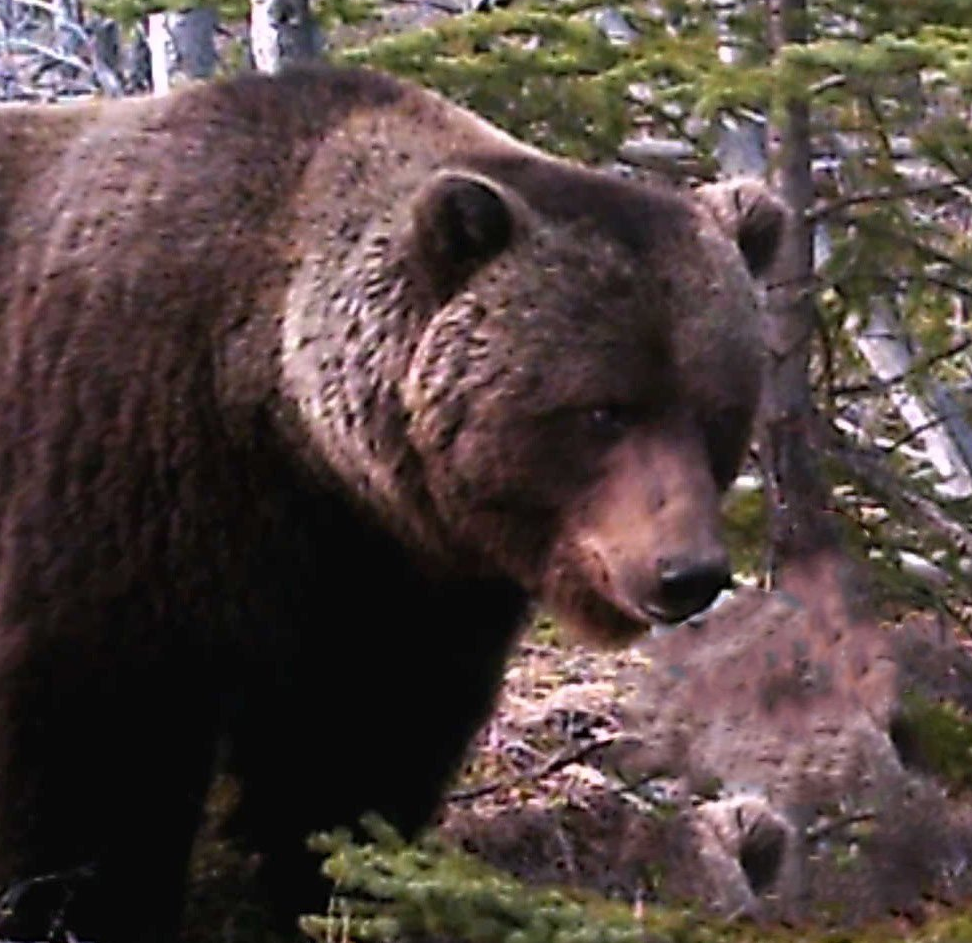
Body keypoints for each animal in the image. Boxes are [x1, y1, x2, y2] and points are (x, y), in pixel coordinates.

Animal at [0, 65, 784, 941]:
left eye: (717, 410)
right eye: (603, 409)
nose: (687, 571)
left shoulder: (401, 580)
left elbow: (361, 749)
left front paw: (337, 887)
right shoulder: (128, 468)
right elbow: (99, 739)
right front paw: (83, 903)